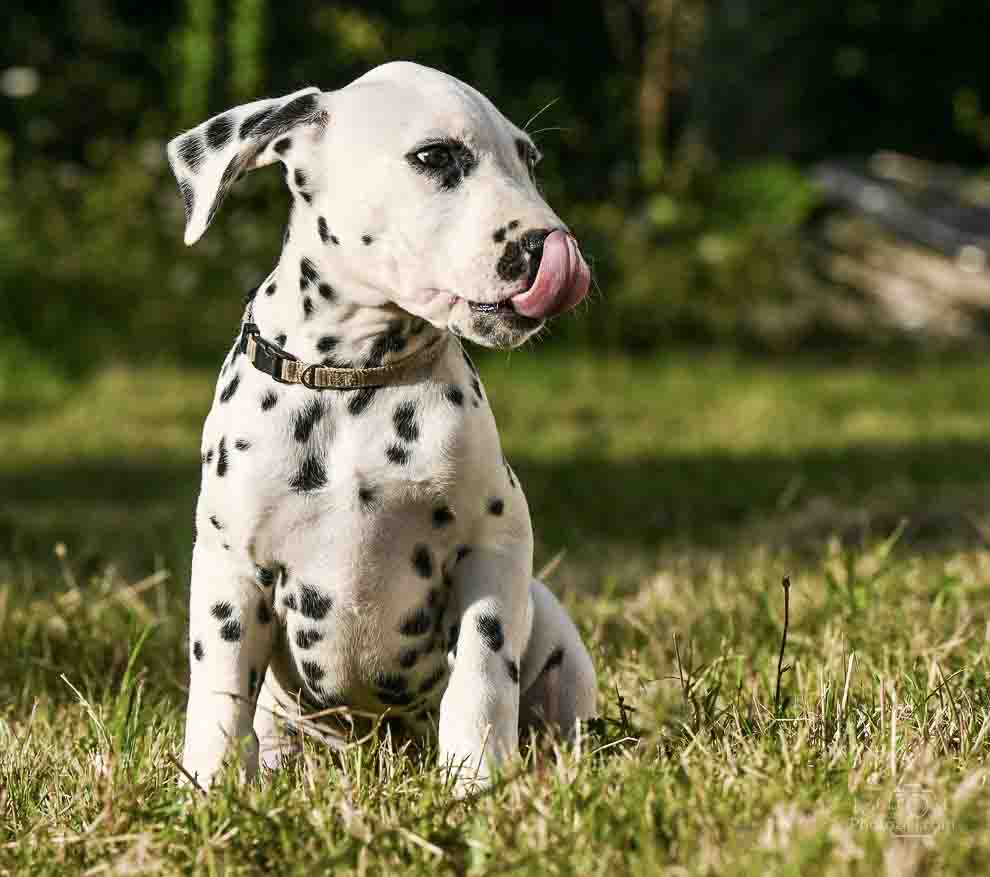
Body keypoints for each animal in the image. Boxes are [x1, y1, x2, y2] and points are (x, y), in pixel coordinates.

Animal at [170, 58, 596, 792]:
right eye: (435, 157)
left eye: (530, 160)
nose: (547, 245)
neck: (356, 381)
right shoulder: (231, 568)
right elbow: (220, 693)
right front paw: (209, 787)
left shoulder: (494, 546)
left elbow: (483, 676)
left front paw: (477, 780)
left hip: (560, 641)